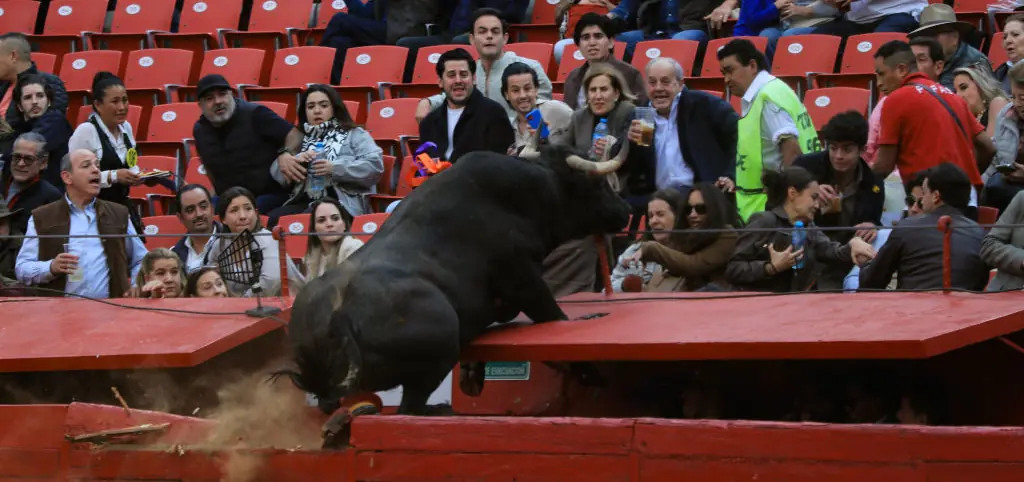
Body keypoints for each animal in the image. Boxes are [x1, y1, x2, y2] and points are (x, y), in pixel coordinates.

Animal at [276, 135, 632, 445]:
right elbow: (553, 317)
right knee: (408, 409)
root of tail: (340, 317)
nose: (626, 211)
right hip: (438, 354)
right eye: (597, 184)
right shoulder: (523, 278)